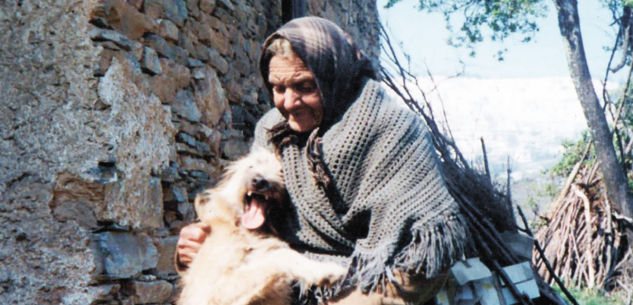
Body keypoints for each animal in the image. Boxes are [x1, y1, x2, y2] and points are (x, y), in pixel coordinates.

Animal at [177, 147, 346, 304]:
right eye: (252, 165)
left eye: (281, 172)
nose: (259, 181)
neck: (249, 233)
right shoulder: (212, 292)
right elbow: (278, 257)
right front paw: (324, 270)